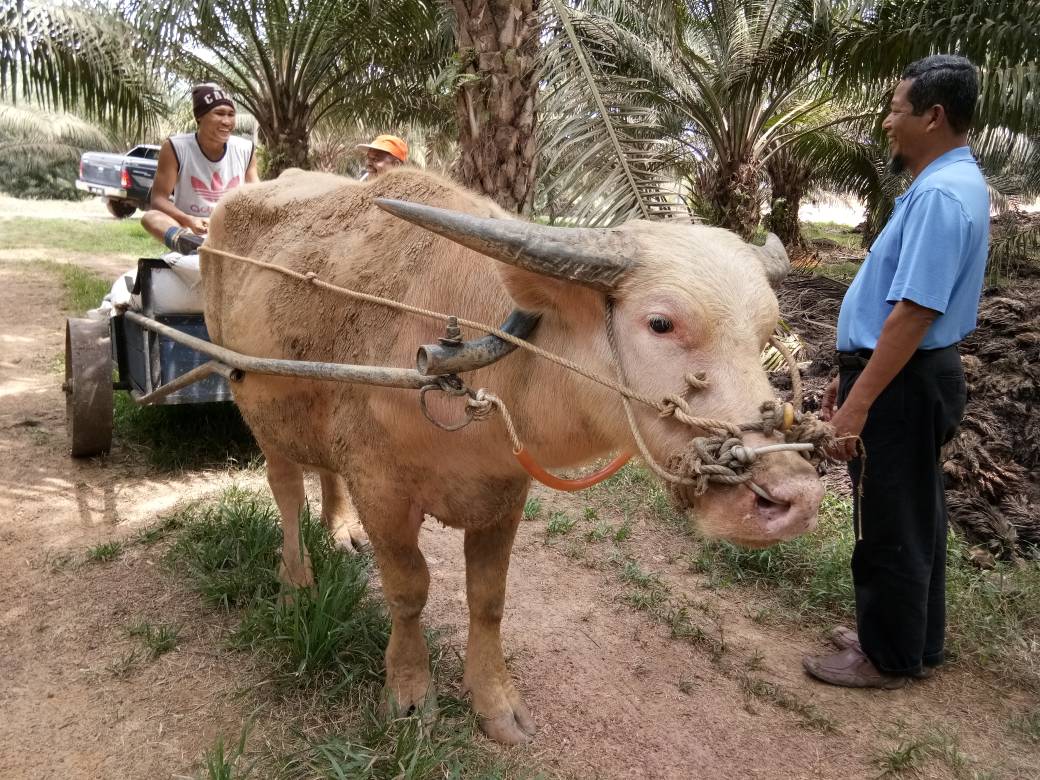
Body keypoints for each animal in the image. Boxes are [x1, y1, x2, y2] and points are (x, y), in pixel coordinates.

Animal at [201, 168, 824, 744]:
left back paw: (340, 529)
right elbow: (408, 590)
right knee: (285, 489)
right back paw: (295, 584)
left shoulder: (505, 493)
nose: (794, 497)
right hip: (252, 399)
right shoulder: (382, 489)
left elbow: (489, 598)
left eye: (765, 334)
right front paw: (409, 694)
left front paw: (496, 703)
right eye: (661, 323)